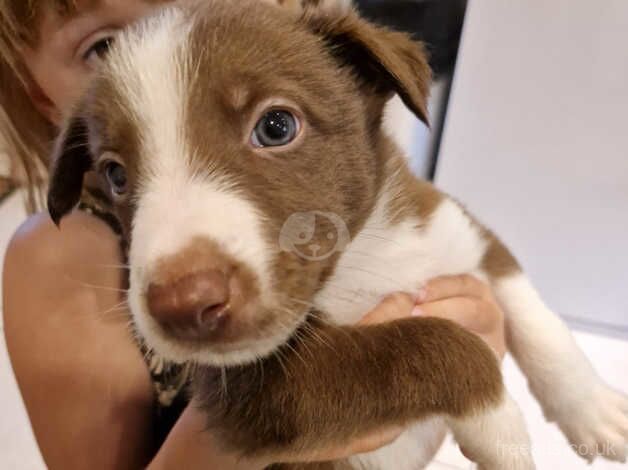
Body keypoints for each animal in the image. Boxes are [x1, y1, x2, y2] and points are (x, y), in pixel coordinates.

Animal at [46, 0, 628, 470]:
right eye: (116, 175)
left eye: (276, 126)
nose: (182, 306)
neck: (361, 257)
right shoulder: (259, 395)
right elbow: (423, 342)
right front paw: (500, 425)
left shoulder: (457, 226)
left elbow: (532, 308)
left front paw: (595, 409)